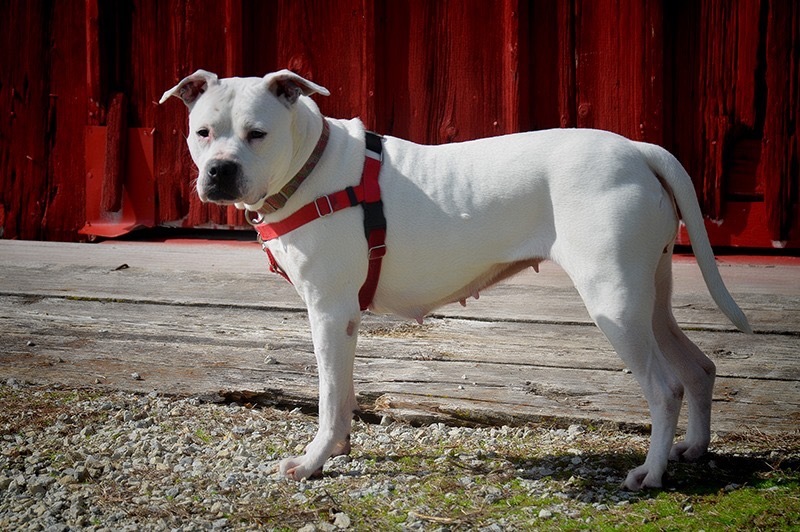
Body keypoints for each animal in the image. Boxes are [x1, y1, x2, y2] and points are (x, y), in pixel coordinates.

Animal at [161, 68, 752, 488]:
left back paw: (651, 473)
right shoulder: (342, 319)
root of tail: (636, 149)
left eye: (257, 134)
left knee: (665, 386)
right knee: (698, 367)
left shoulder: (328, 311)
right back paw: (691, 450)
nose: (220, 171)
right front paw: (339, 449)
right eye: (202, 132)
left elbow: (328, 396)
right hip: (649, 297)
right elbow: (343, 392)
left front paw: (312, 462)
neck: (310, 167)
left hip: (616, 302)